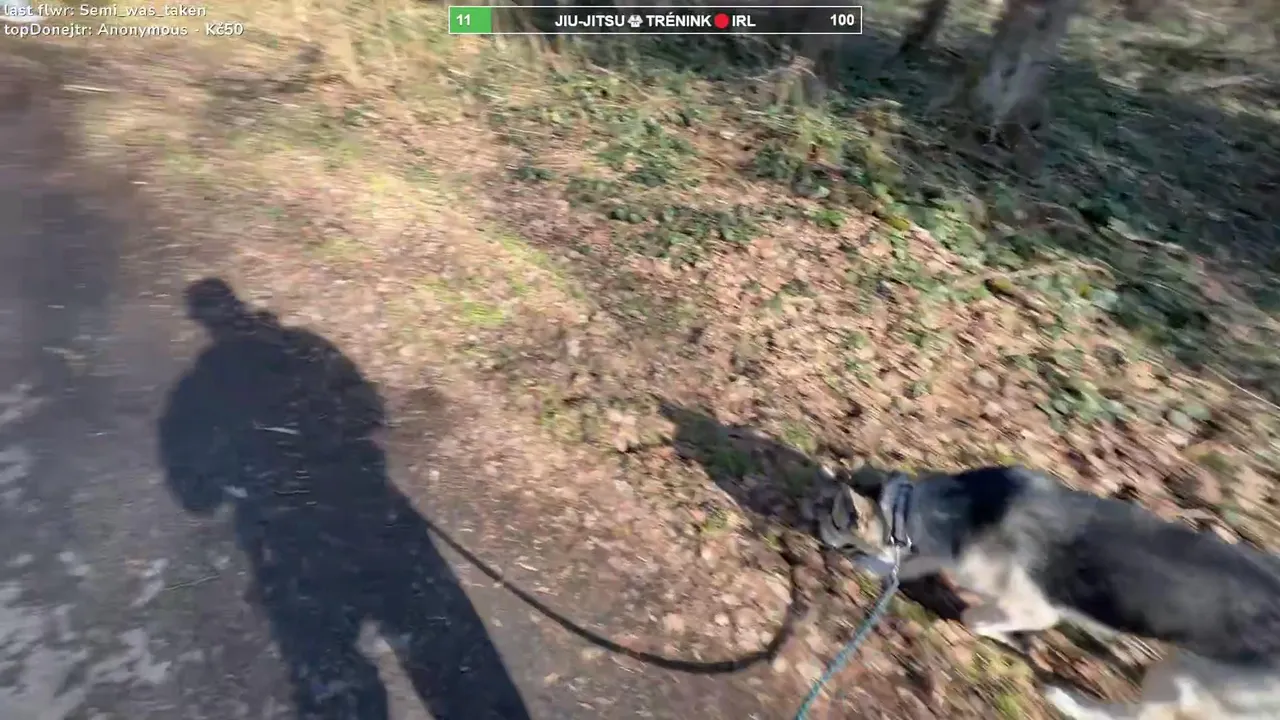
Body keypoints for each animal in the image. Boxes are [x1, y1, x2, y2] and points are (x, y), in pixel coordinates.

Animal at [819, 465, 1280, 719]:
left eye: (834, 517)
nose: (815, 526)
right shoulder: (934, 553)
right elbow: (912, 565)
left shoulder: (1037, 610)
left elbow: (976, 617)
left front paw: (1015, 640)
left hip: (1183, 675)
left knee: (1142, 715)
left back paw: (1072, 703)